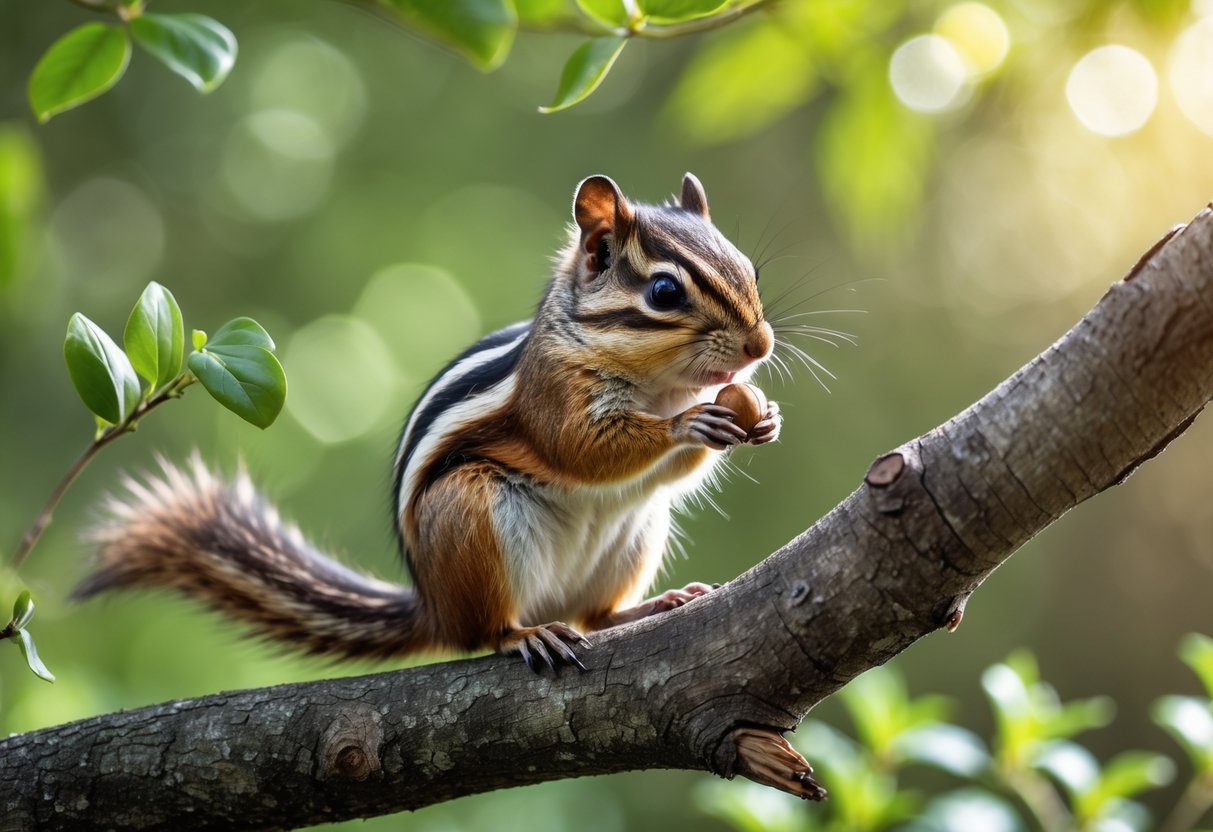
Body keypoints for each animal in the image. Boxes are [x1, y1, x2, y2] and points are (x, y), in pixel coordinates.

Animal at [75, 173, 780, 673]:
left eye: (748, 268)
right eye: (664, 293)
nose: (761, 346)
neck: (659, 385)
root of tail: (434, 608)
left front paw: (762, 415)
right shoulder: (551, 395)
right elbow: (582, 447)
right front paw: (691, 423)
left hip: (637, 534)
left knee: (594, 616)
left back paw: (654, 604)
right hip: (469, 514)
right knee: (489, 632)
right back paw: (524, 634)